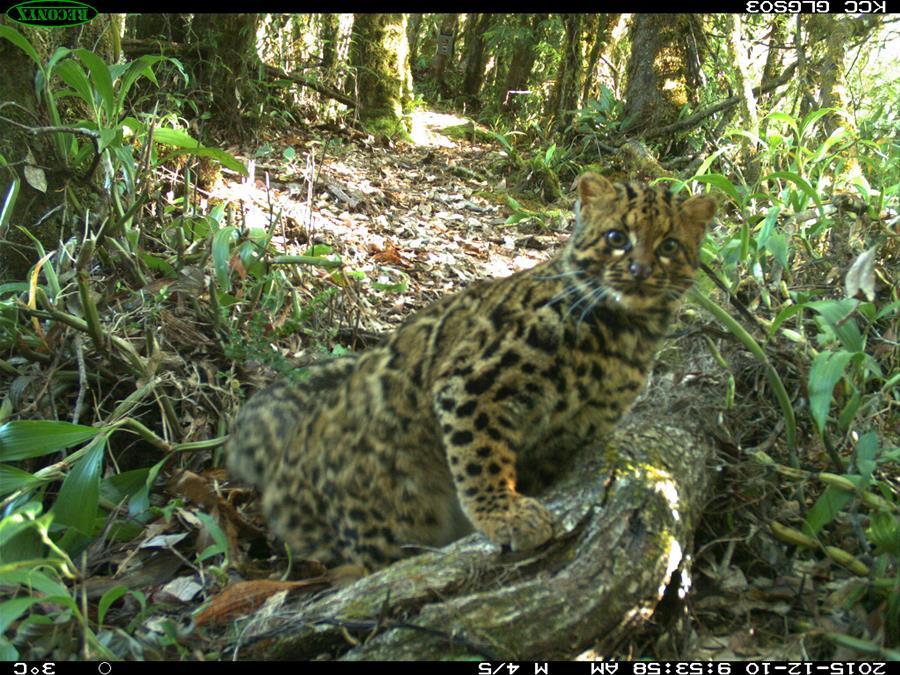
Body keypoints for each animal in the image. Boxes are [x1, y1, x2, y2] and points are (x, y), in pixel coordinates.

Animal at [225, 173, 716, 572]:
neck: (624, 335)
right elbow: (480, 457)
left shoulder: (578, 426)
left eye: (669, 246)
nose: (639, 270)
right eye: (617, 237)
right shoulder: (473, 382)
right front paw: (506, 514)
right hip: (381, 520)